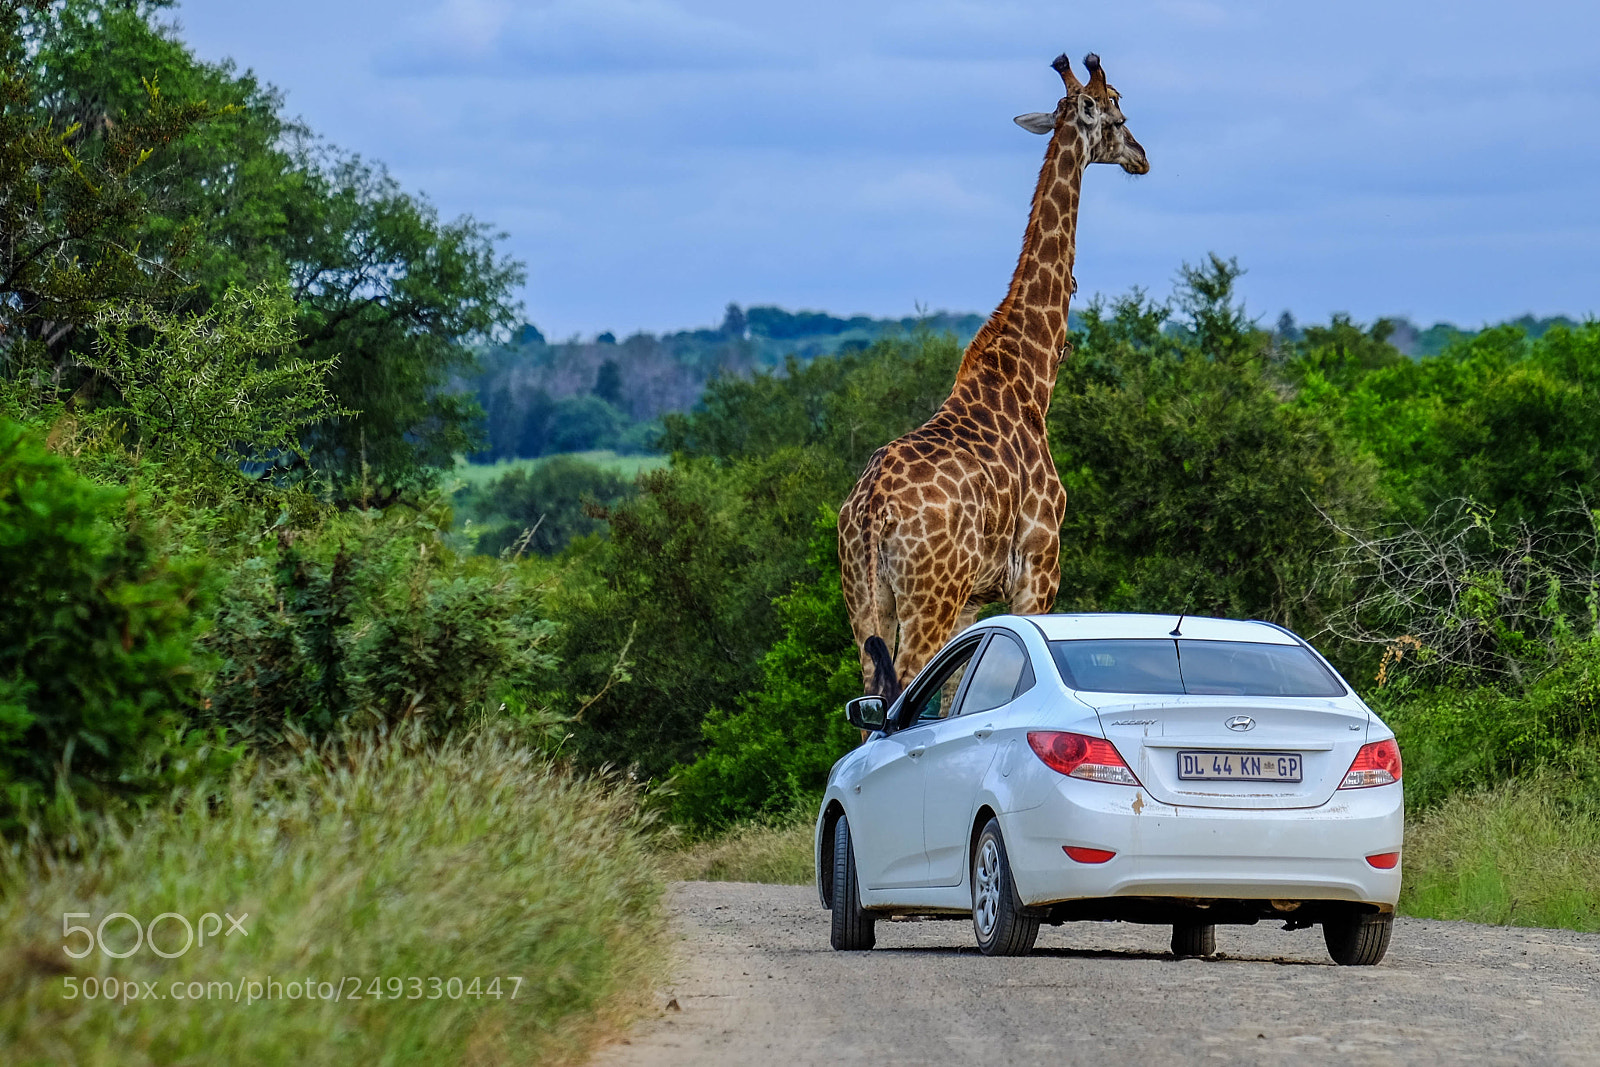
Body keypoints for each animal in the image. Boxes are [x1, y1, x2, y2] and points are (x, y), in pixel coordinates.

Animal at [840, 51, 1148, 705]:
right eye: (1118, 113)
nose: (1141, 155)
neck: (1030, 381)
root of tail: (872, 510)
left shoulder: (974, 597)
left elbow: (956, 692)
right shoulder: (1038, 569)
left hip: (866, 594)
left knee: (871, 693)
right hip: (928, 593)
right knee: (900, 685)